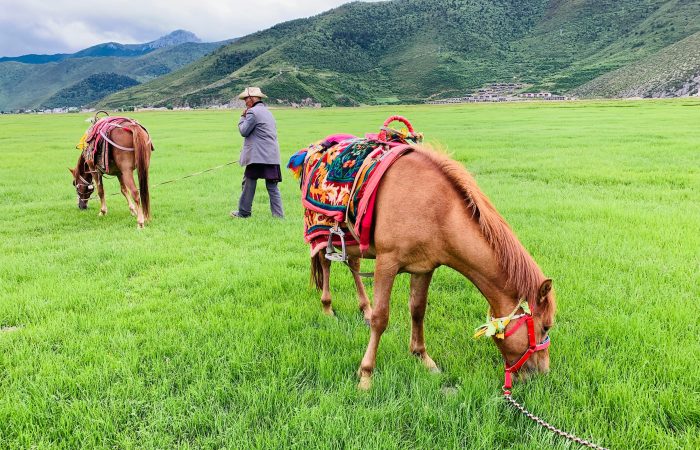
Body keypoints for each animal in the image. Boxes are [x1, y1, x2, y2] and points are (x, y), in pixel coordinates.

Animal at [303, 146, 556, 390]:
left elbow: (417, 310)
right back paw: (327, 308)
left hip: (353, 242)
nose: (543, 372)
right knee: (325, 263)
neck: (437, 209)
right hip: (323, 232)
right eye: (545, 327)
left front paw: (422, 357)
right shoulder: (387, 263)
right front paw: (366, 376)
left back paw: (364, 308)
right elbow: (380, 318)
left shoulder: (424, 268)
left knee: (353, 265)